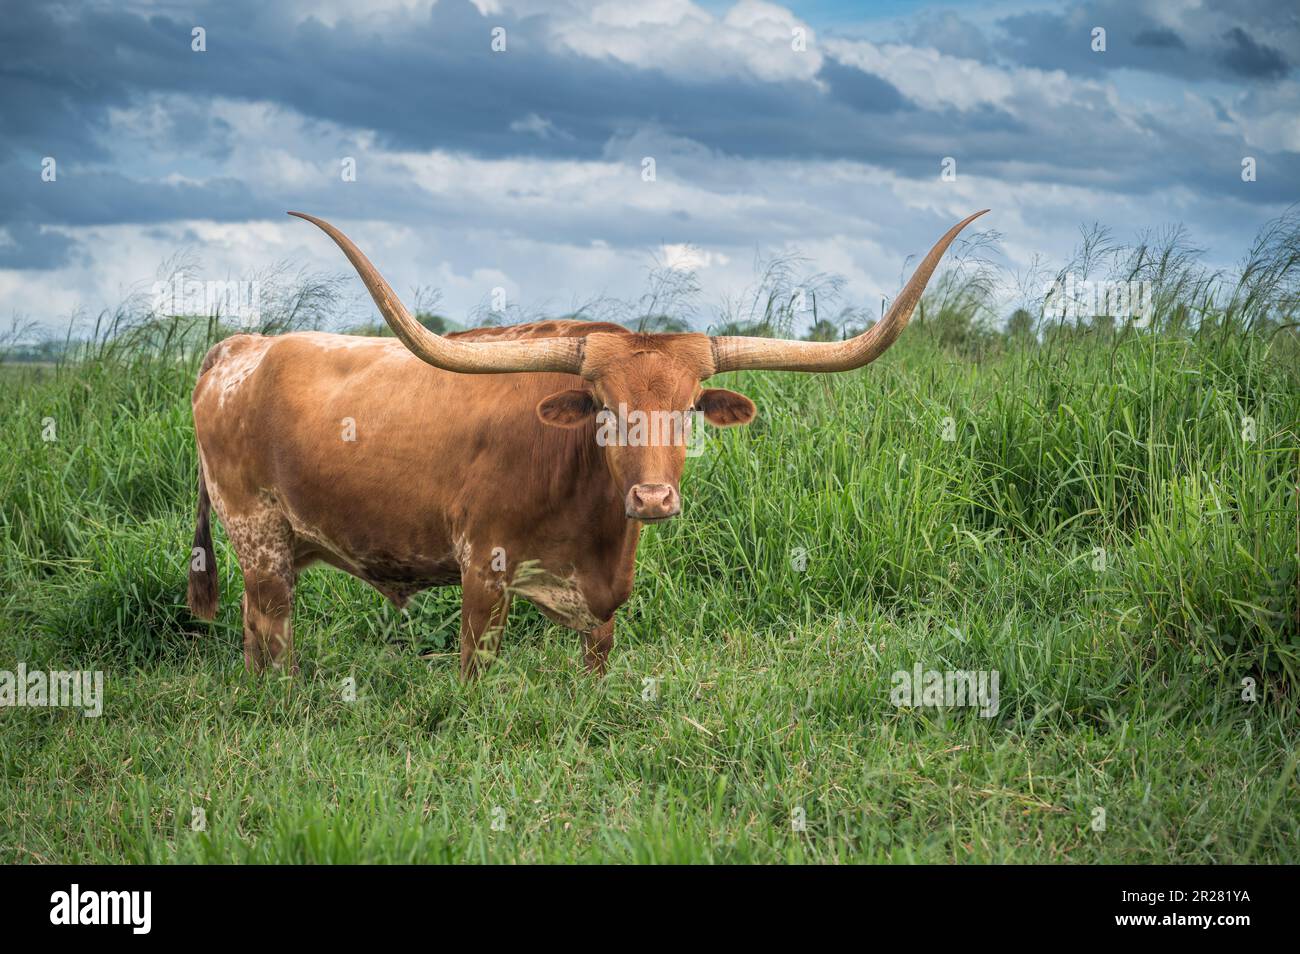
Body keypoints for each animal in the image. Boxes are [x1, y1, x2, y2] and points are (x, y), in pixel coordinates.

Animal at [188, 214, 982, 686]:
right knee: (273, 635)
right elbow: (475, 671)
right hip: (259, 539)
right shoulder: (483, 574)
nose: (653, 497)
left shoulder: (604, 605)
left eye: (688, 410)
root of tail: (239, 348)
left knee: (254, 635)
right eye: (603, 407)